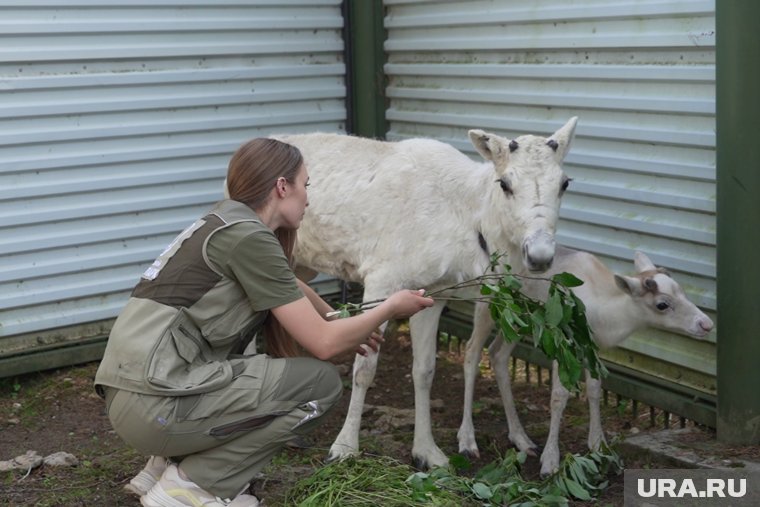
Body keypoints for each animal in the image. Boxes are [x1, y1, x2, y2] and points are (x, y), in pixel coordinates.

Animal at [276, 118, 580, 468]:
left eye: (565, 183)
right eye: (505, 183)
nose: (540, 255)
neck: (470, 225)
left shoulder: (434, 291)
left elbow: (424, 370)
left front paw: (427, 452)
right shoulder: (381, 278)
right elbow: (364, 368)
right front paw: (343, 447)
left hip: (301, 264)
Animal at [458, 247, 712, 476]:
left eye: (682, 290)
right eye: (662, 304)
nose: (706, 324)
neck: (602, 305)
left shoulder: (591, 346)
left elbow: (595, 388)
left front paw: (599, 446)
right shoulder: (562, 340)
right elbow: (559, 395)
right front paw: (549, 463)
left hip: (520, 319)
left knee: (498, 353)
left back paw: (523, 440)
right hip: (488, 303)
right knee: (472, 351)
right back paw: (468, 442)